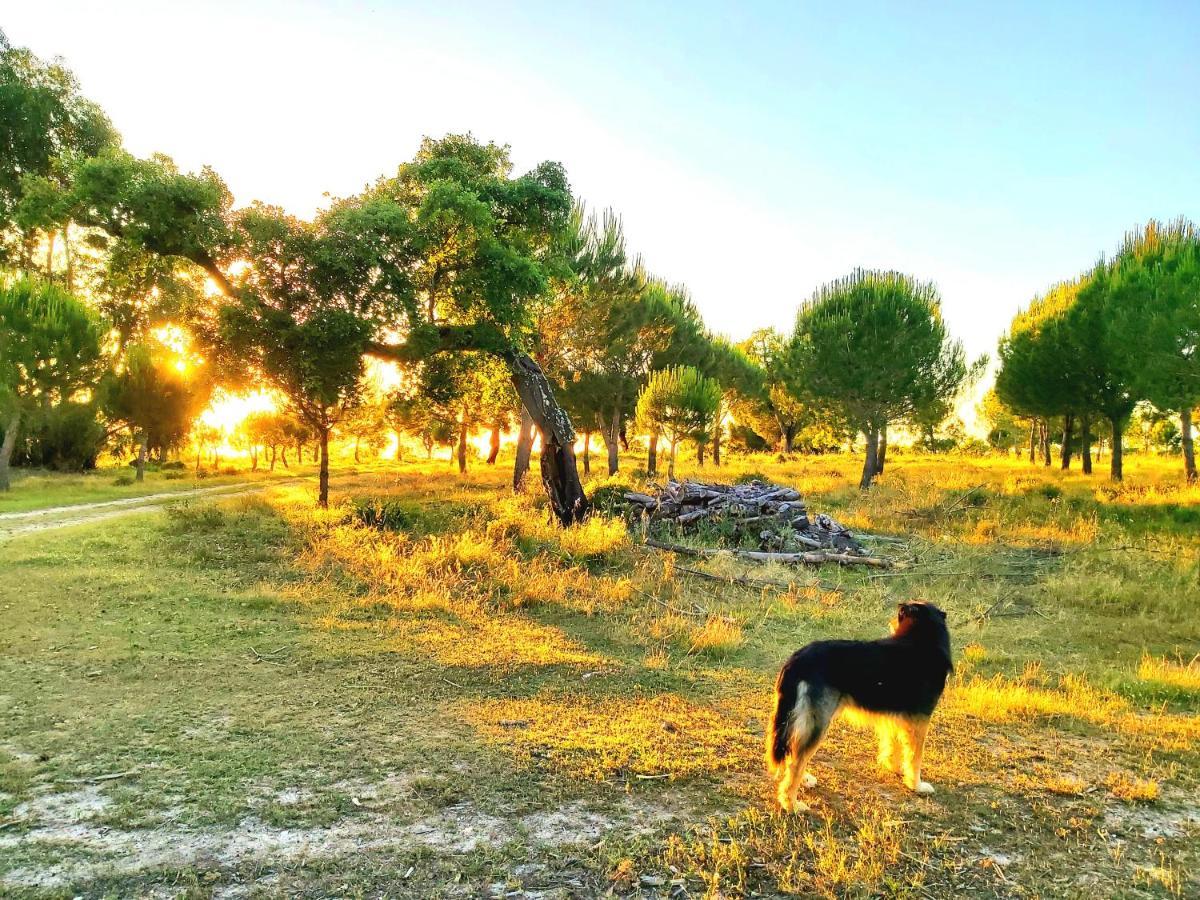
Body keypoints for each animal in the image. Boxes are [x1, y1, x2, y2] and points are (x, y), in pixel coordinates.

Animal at [763, 602, 950, 816]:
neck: (922, 637)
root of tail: (796, 659)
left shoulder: (895, 716)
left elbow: (893, 744)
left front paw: (893, 767)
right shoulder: (920, 720)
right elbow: (915, 758)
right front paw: (916, 785)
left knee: (792, 751)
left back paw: (805, 780)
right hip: (817, 722)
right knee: (796, 762)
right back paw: (792, 804)